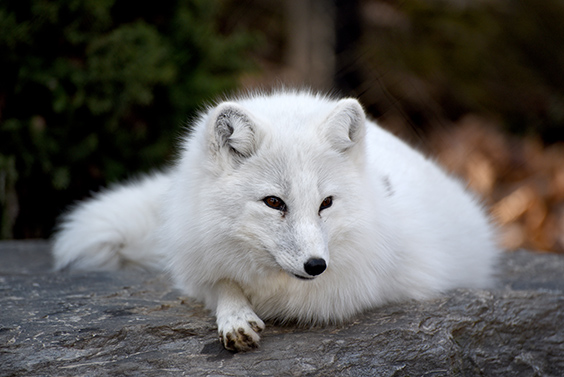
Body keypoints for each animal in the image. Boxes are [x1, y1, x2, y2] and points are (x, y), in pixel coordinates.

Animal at [53, 89, 500, 352]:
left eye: (326, 204)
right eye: (273, 202)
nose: (316, 265)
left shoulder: (349, 287)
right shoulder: (197, 262)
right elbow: (223, 282)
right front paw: (235, 315)